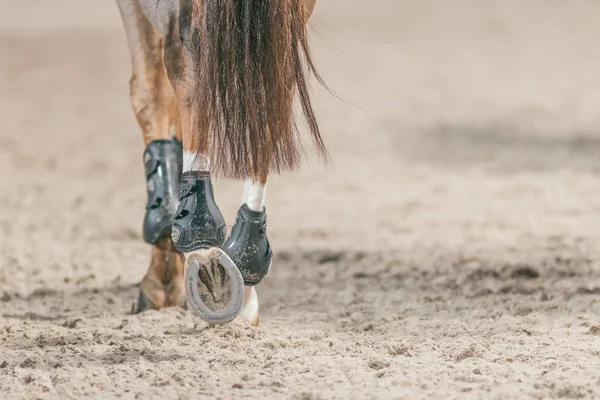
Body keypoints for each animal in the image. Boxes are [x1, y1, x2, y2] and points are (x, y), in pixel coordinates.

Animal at [115, 0, 326, 324]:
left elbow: (152, 91)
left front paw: (162, 280)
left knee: (188, 56)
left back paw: (198, 235)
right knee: (272, 84)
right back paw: (244, 262)